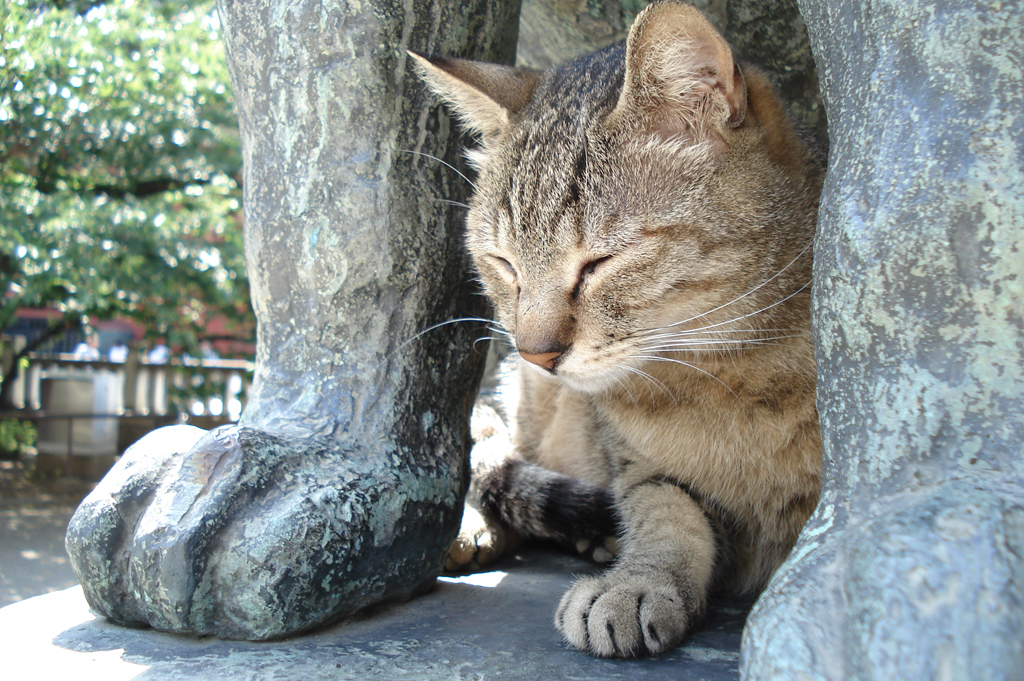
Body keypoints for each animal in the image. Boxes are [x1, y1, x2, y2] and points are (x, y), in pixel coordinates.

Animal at [411, 0, 819, 659]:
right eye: (504, 264)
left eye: (598, 263)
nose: (535, 353)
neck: (727, 374)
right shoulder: (639, 468)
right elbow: (664, 515)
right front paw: (640, 580)